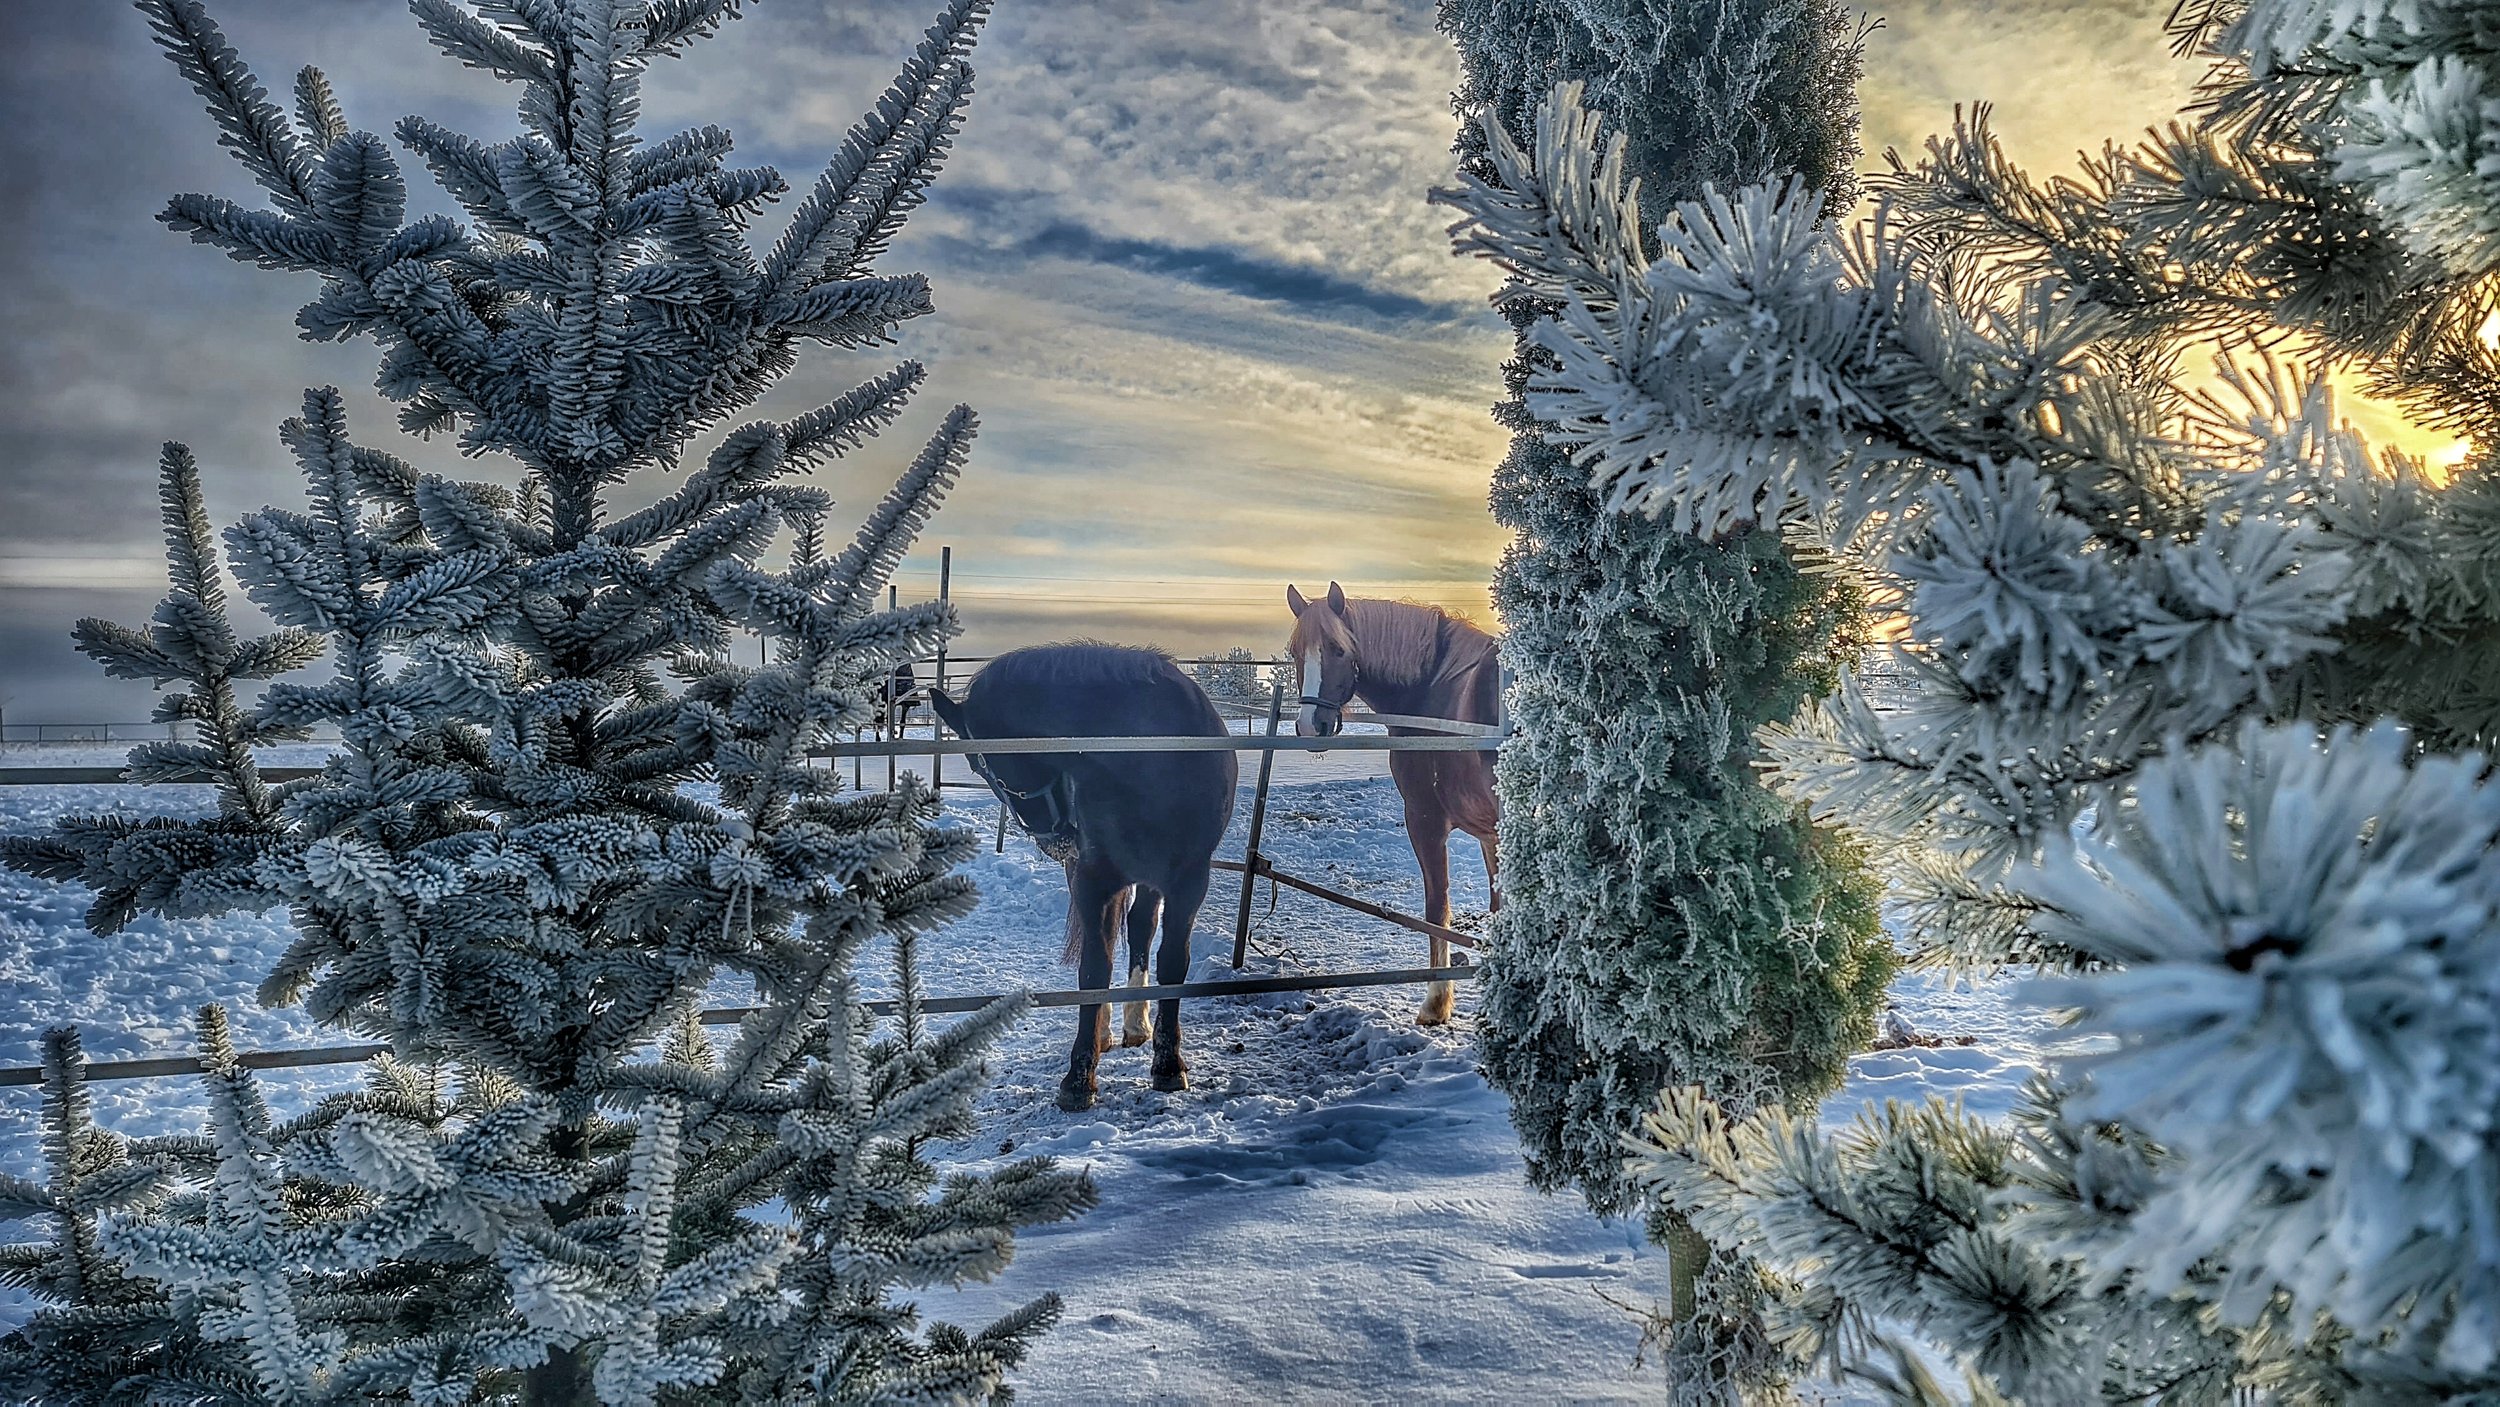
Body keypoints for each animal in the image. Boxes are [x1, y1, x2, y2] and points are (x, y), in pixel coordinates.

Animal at [1290, 584, 1500, 1024]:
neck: (1429, 687)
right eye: (1296, 652)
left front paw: (1436, 1003)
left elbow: (1437, 908)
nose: (1310, 725)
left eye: (1338, 649)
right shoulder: (1489, 835)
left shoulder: (1425, 819)